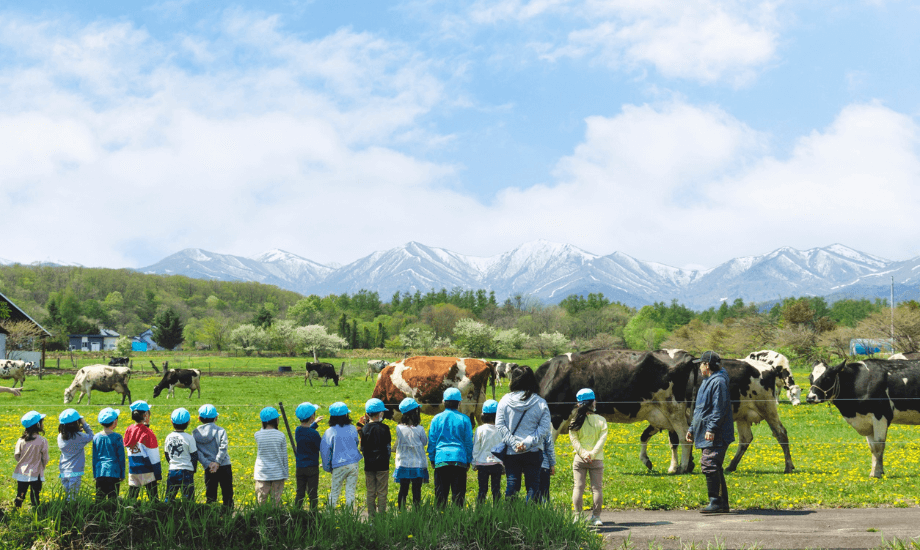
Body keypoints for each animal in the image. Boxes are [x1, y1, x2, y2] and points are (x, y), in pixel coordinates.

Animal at [532, 352, 696, 476]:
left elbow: (548, 445)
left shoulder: (556, 415)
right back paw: (680, 466)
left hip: (674, 409)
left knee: (684, 437)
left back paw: (682, 468)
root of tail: (686, 355)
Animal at [636, 356, 796, 476]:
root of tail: (769, 368)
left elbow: (676, 441)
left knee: (781, 434)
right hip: (743, 415)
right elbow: (648, 435)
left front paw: (679, 466)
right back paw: (731, 465)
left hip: (767, 408)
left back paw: (788, 466)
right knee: (745, 439)